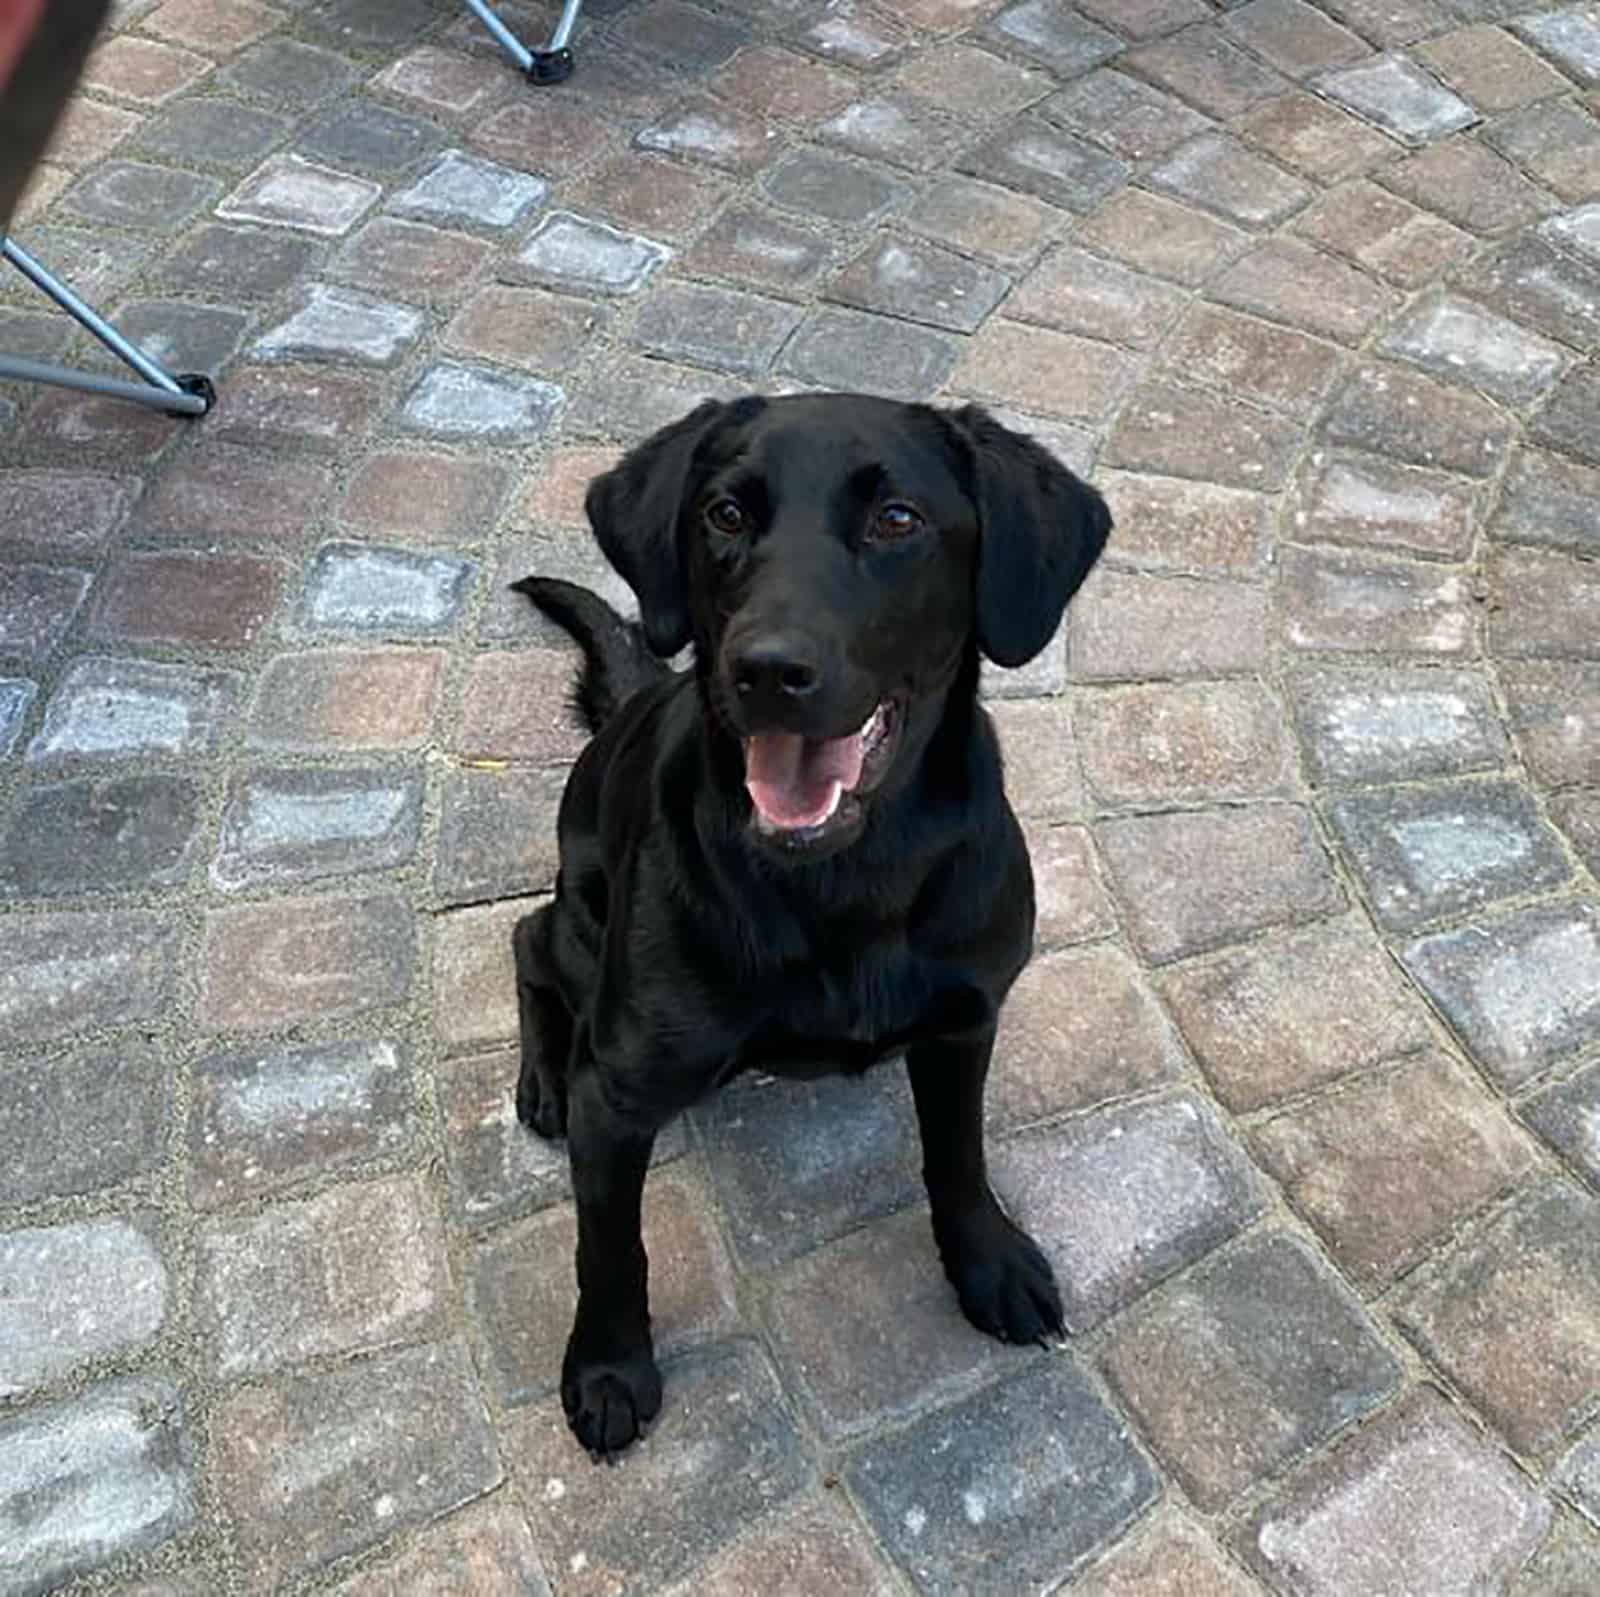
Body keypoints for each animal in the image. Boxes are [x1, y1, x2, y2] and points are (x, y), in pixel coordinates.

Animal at [512, 390, 1113, 1465]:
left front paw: (988, 1262)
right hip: (584, 918)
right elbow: (610, 1246)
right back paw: (542, 1072)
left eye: (897, 520)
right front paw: (610, 1366)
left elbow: (958, 1155)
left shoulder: (967, 1022)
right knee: (527, 938)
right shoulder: (617, 1097)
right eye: (724, 515)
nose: (767, 669)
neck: (846, 883)